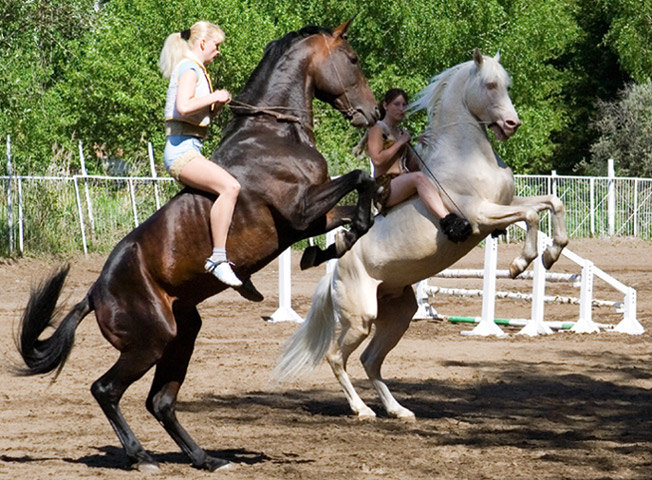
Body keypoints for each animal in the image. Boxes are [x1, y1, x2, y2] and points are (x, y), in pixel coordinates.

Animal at [15, 22, 380, 472]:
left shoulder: (312, 218)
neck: (274, 134)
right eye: (353, 59)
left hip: (182, 334)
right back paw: (142, 456)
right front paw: (328, 247)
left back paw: (206, 458)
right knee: (106, 389)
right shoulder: (300, 213)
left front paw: (326, 249)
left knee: (160, 401)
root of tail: (95, 293)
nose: (373, 112)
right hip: (152, 340)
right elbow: (362, 177)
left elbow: (361, 210)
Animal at [272, 49, 568, 420]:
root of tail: (334, 275)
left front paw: (552, 253)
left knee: (371, 360)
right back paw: (362, 410)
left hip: (398, 314)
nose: (512, 125)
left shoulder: (504, 205)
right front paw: (520, 263)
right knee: (336, 357)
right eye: (490, 84)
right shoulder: (480, 216)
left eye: (508, 84)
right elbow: (530, 215)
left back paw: (398, 410)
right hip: (361, 318)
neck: (471, 157)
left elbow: (552, 203)